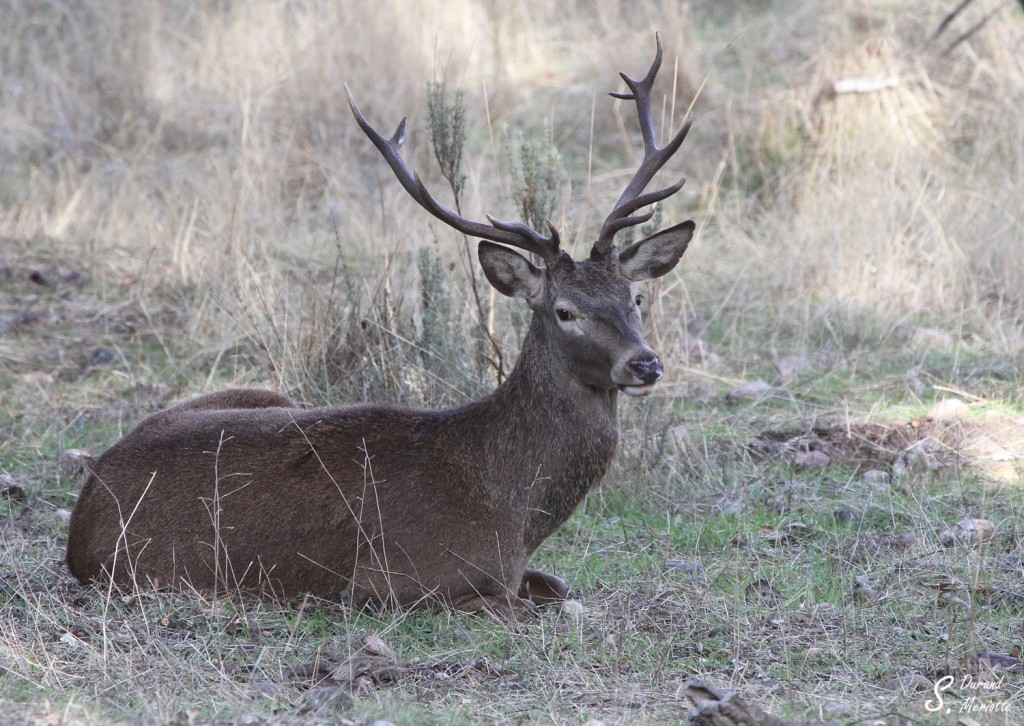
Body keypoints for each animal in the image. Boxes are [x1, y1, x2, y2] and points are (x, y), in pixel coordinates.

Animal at [66, 35, 695, 616]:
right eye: (564, 310)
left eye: (636, 296)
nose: (644, 362)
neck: (510, 511)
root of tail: (87, 501)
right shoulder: (389, 582)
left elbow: (562, 588)